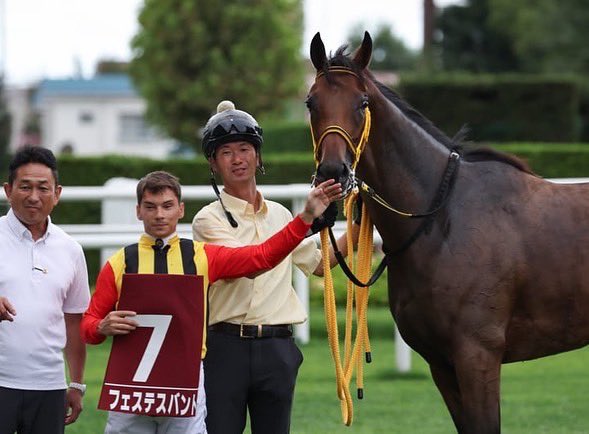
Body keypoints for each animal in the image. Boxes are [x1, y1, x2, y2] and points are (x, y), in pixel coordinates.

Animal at [308, 31, 589, 434]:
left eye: (362, 103)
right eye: (311, 102)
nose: (333, 173)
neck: (442, 220)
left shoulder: (477, 355)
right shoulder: (441, 364)